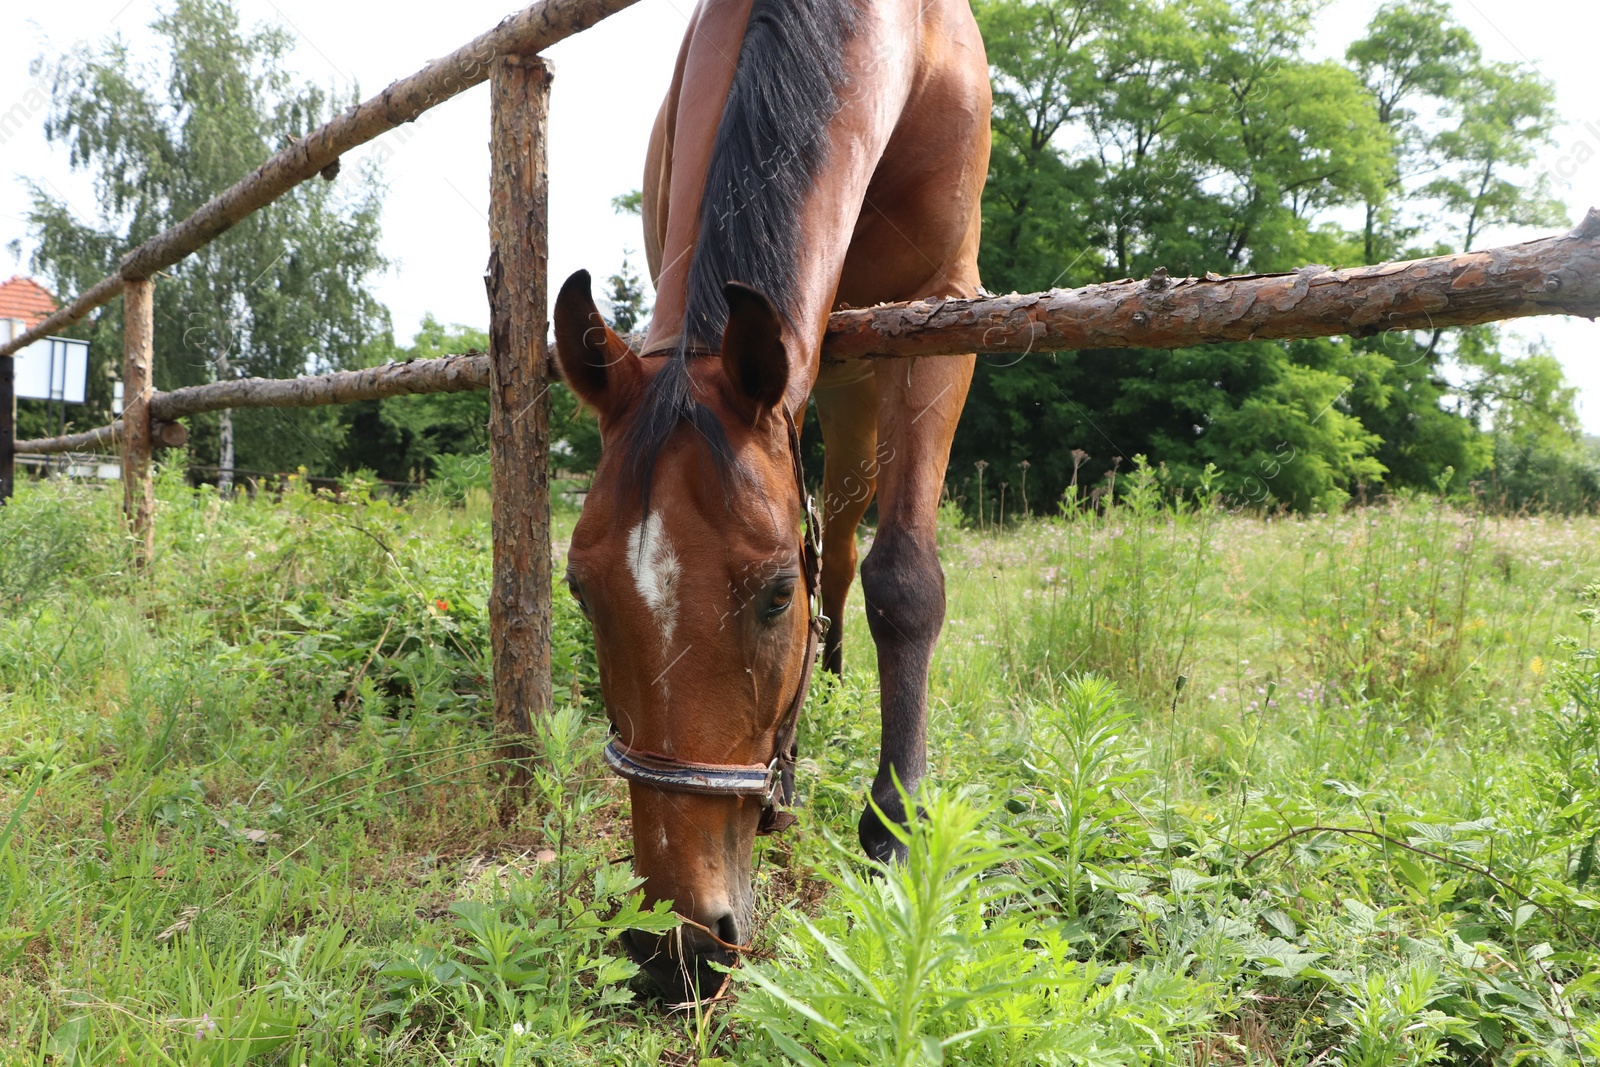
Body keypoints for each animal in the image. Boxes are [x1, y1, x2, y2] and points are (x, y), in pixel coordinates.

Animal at [556, 0, 992, 1004]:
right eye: (581, 591)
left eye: (771, 596)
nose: (673, 943)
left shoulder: (945, 308)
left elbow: (904, 577)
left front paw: (894, 827)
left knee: (849, 529)